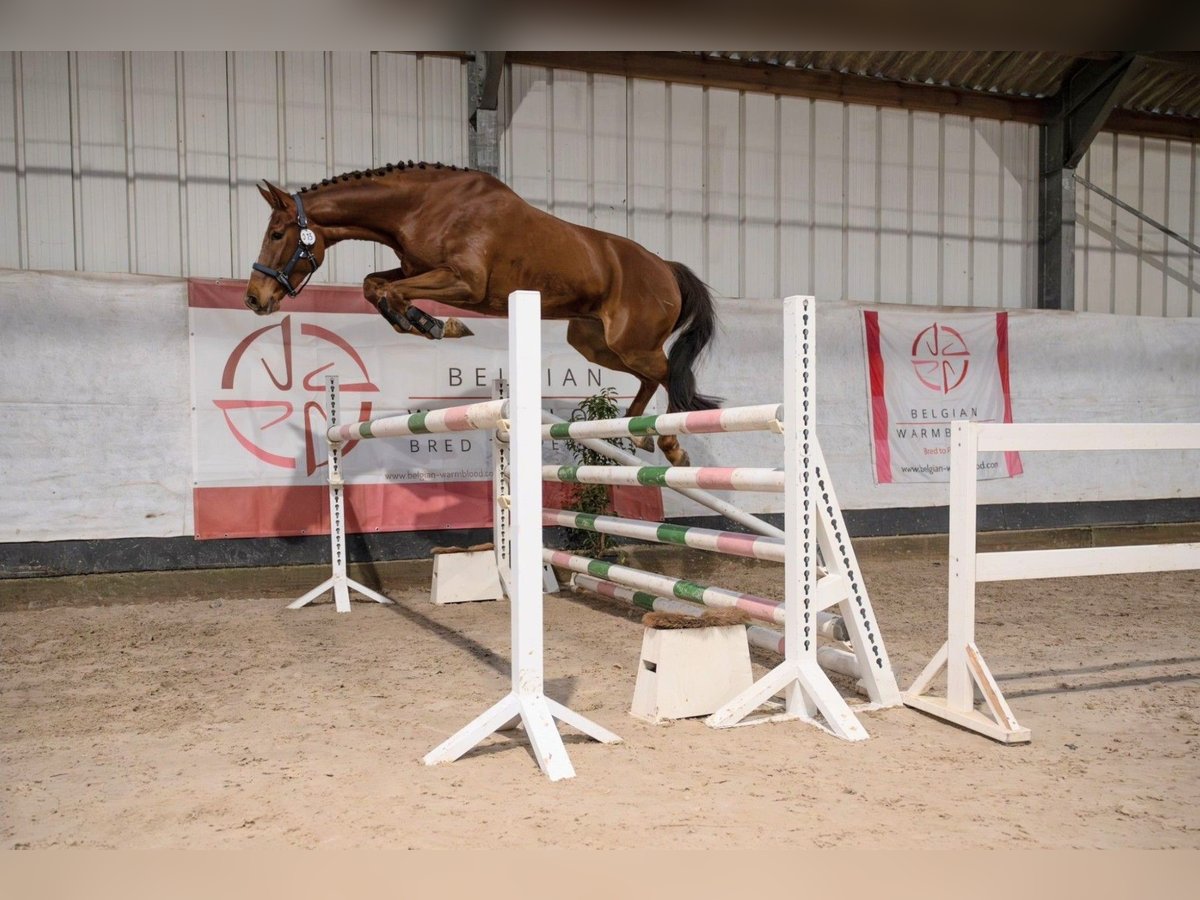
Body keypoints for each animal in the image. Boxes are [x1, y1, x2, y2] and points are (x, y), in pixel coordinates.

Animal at [240, 160, 715, 465]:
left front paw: (435, 324)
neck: (421, 206)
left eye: (277, 234)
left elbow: (390, 290)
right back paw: (638, 428)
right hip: (593, 342)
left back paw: (668, 443)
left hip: (630, 341)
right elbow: (375, 285)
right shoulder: (416, 269)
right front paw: (425, 323)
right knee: (652, 376)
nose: (254, 299)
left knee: (668, 373)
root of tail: (665, 267)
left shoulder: (464, 282)